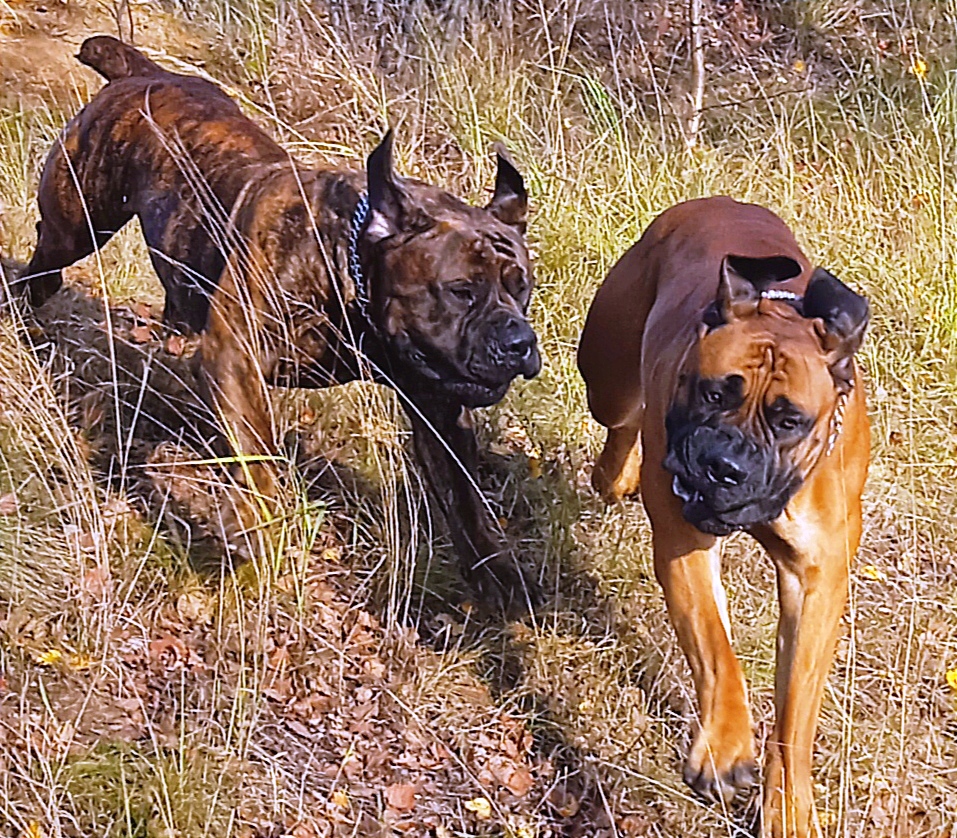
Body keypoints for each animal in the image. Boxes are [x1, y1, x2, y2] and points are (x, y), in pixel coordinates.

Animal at [18, 36, 542, 611]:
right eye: (461, 290)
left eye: (522, 289)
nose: (519, 341)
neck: (349, 264)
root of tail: (143, 73)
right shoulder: (236, 356)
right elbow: (260, 451)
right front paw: (254, 522)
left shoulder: (438, 408)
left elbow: (466, 499)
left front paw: (499, 572)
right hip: (76, 225)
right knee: (41, 269)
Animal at [577, 197, 870, 837]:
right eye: (714, 393)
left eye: (789, 421)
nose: (724, 465)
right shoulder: (684, 542)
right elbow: (717, 650)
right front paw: (726, 747)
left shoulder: (817, 583)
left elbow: (795, 714)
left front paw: (788, 806)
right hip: (607, 378)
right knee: (621, 421)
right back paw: (618, 473)